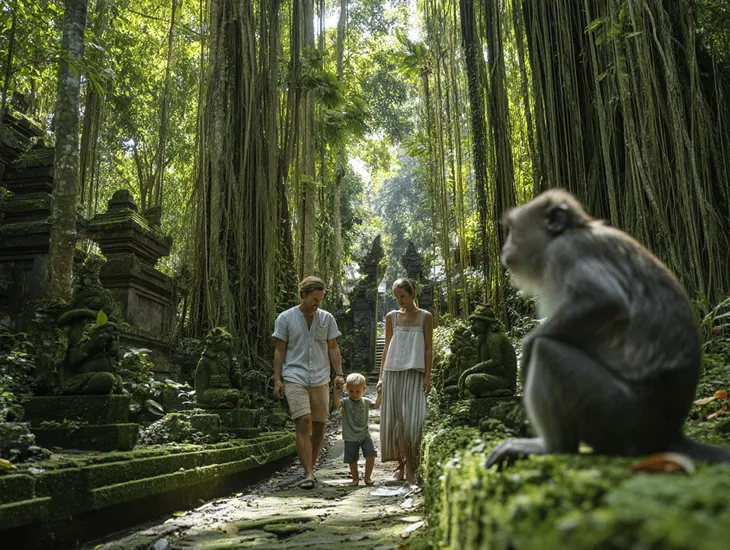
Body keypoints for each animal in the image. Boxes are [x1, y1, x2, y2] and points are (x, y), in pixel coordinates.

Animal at [485, 189, 730, 468]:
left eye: (513, 229)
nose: (505, 248)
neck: (570, 232)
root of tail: (669, 434)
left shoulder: (565, 252)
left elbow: (605, 300)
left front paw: (525, 349)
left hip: (617, 414)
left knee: (546, 351)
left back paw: (552, 447)